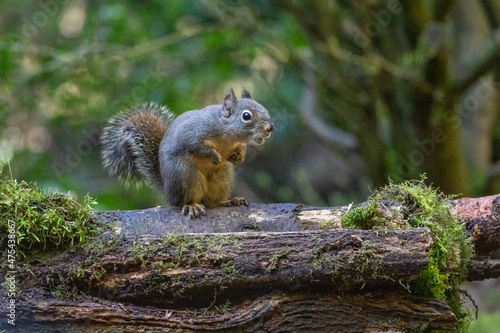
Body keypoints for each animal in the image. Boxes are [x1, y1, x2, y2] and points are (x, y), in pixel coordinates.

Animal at [100, 88, 274, 218]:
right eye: (246, 116)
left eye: (265, 110)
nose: (270, 128)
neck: (228, 134)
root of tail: (168, 193)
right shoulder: (193, 133)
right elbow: (196, 146)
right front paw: (214, 156)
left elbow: (240, 149)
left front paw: (239, 157)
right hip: (185, 175)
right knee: (184, 201)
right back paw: (192, 206)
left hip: (222, 177)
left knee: (211, 202)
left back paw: (229, 201)